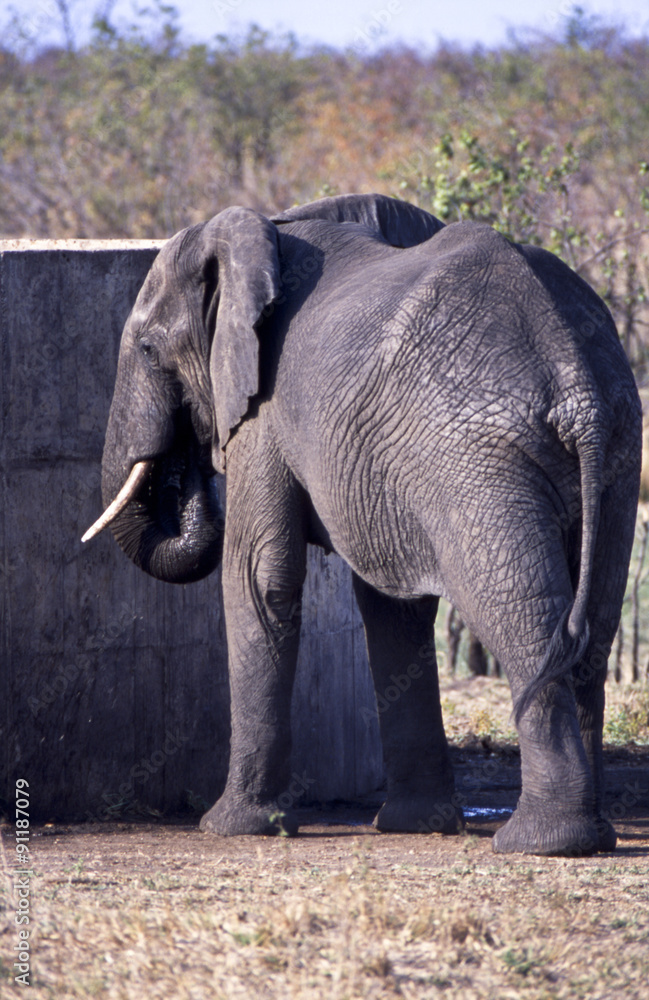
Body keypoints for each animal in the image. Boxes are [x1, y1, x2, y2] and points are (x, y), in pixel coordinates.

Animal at [83, 193, 642, 855]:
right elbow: (391, 605)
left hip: (479, 464)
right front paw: (416, 824)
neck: (272, 231)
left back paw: (541, 841)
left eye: (147, 350)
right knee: (595, 624)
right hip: (617, 450)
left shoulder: (265, 413)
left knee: (521, 616)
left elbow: (258, 578)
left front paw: (231, 827)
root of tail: (575, 381)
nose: (188, 461)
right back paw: (593, 833)